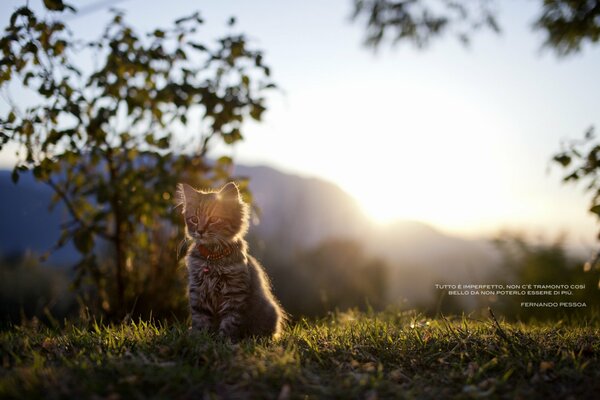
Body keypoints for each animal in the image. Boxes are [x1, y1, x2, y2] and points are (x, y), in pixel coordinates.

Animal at [177, 181, 284, 340]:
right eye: (194, 219)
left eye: (214, 219)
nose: (200, 231)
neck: (213, 257)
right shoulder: (198, 290)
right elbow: (200, 319)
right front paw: (199, 338)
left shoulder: (234, 293)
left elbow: (230, 321)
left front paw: (223, 340)